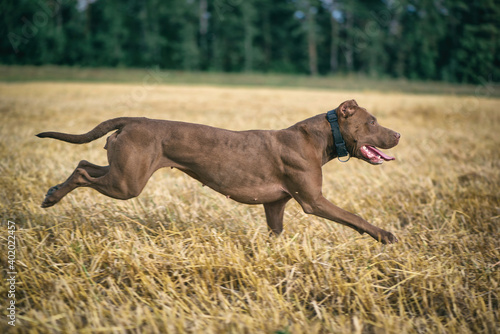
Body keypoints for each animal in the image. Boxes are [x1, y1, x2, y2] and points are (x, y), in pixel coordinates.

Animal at [37, 99, 400, 243]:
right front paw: (385, 235)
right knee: (83, 174)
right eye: (372, 122)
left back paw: (53, 192)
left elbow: (276, 233)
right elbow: (354, 217)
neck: (323, 136)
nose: (398, 134)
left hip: (123, 169)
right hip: (127, 184)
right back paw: (52, 198)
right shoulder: (314, 202)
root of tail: (133, 120)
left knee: (83, 164)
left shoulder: (275, 205)